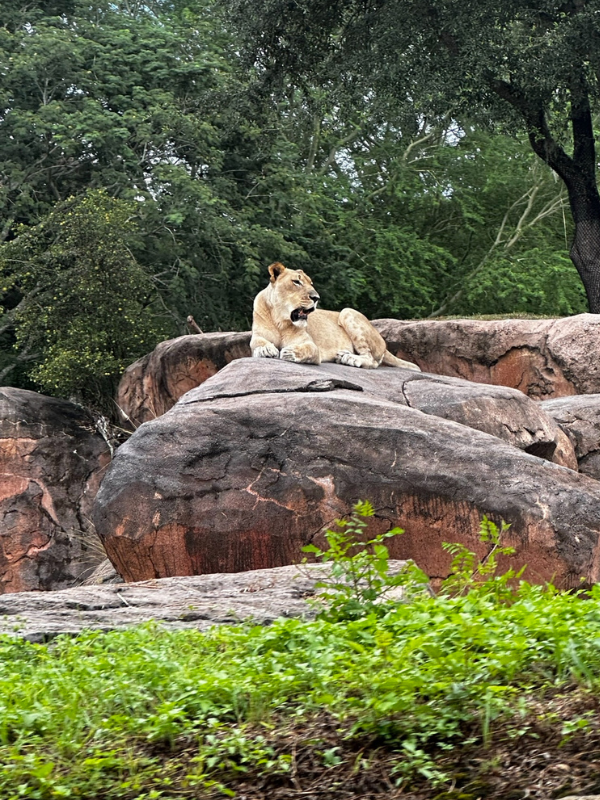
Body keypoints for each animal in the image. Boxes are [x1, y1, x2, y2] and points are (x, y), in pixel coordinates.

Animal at [250, 266, 422, 372]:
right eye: (296, 281)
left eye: (311, 283)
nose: (316, 297)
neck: (280, 319)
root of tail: (384, 345)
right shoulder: (257, 336)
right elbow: (257, 342)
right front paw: (266, 349)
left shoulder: (311, 345)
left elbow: (308, 349)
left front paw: (289, 352)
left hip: (347, 312)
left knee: (372, 360)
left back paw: (349, 358)